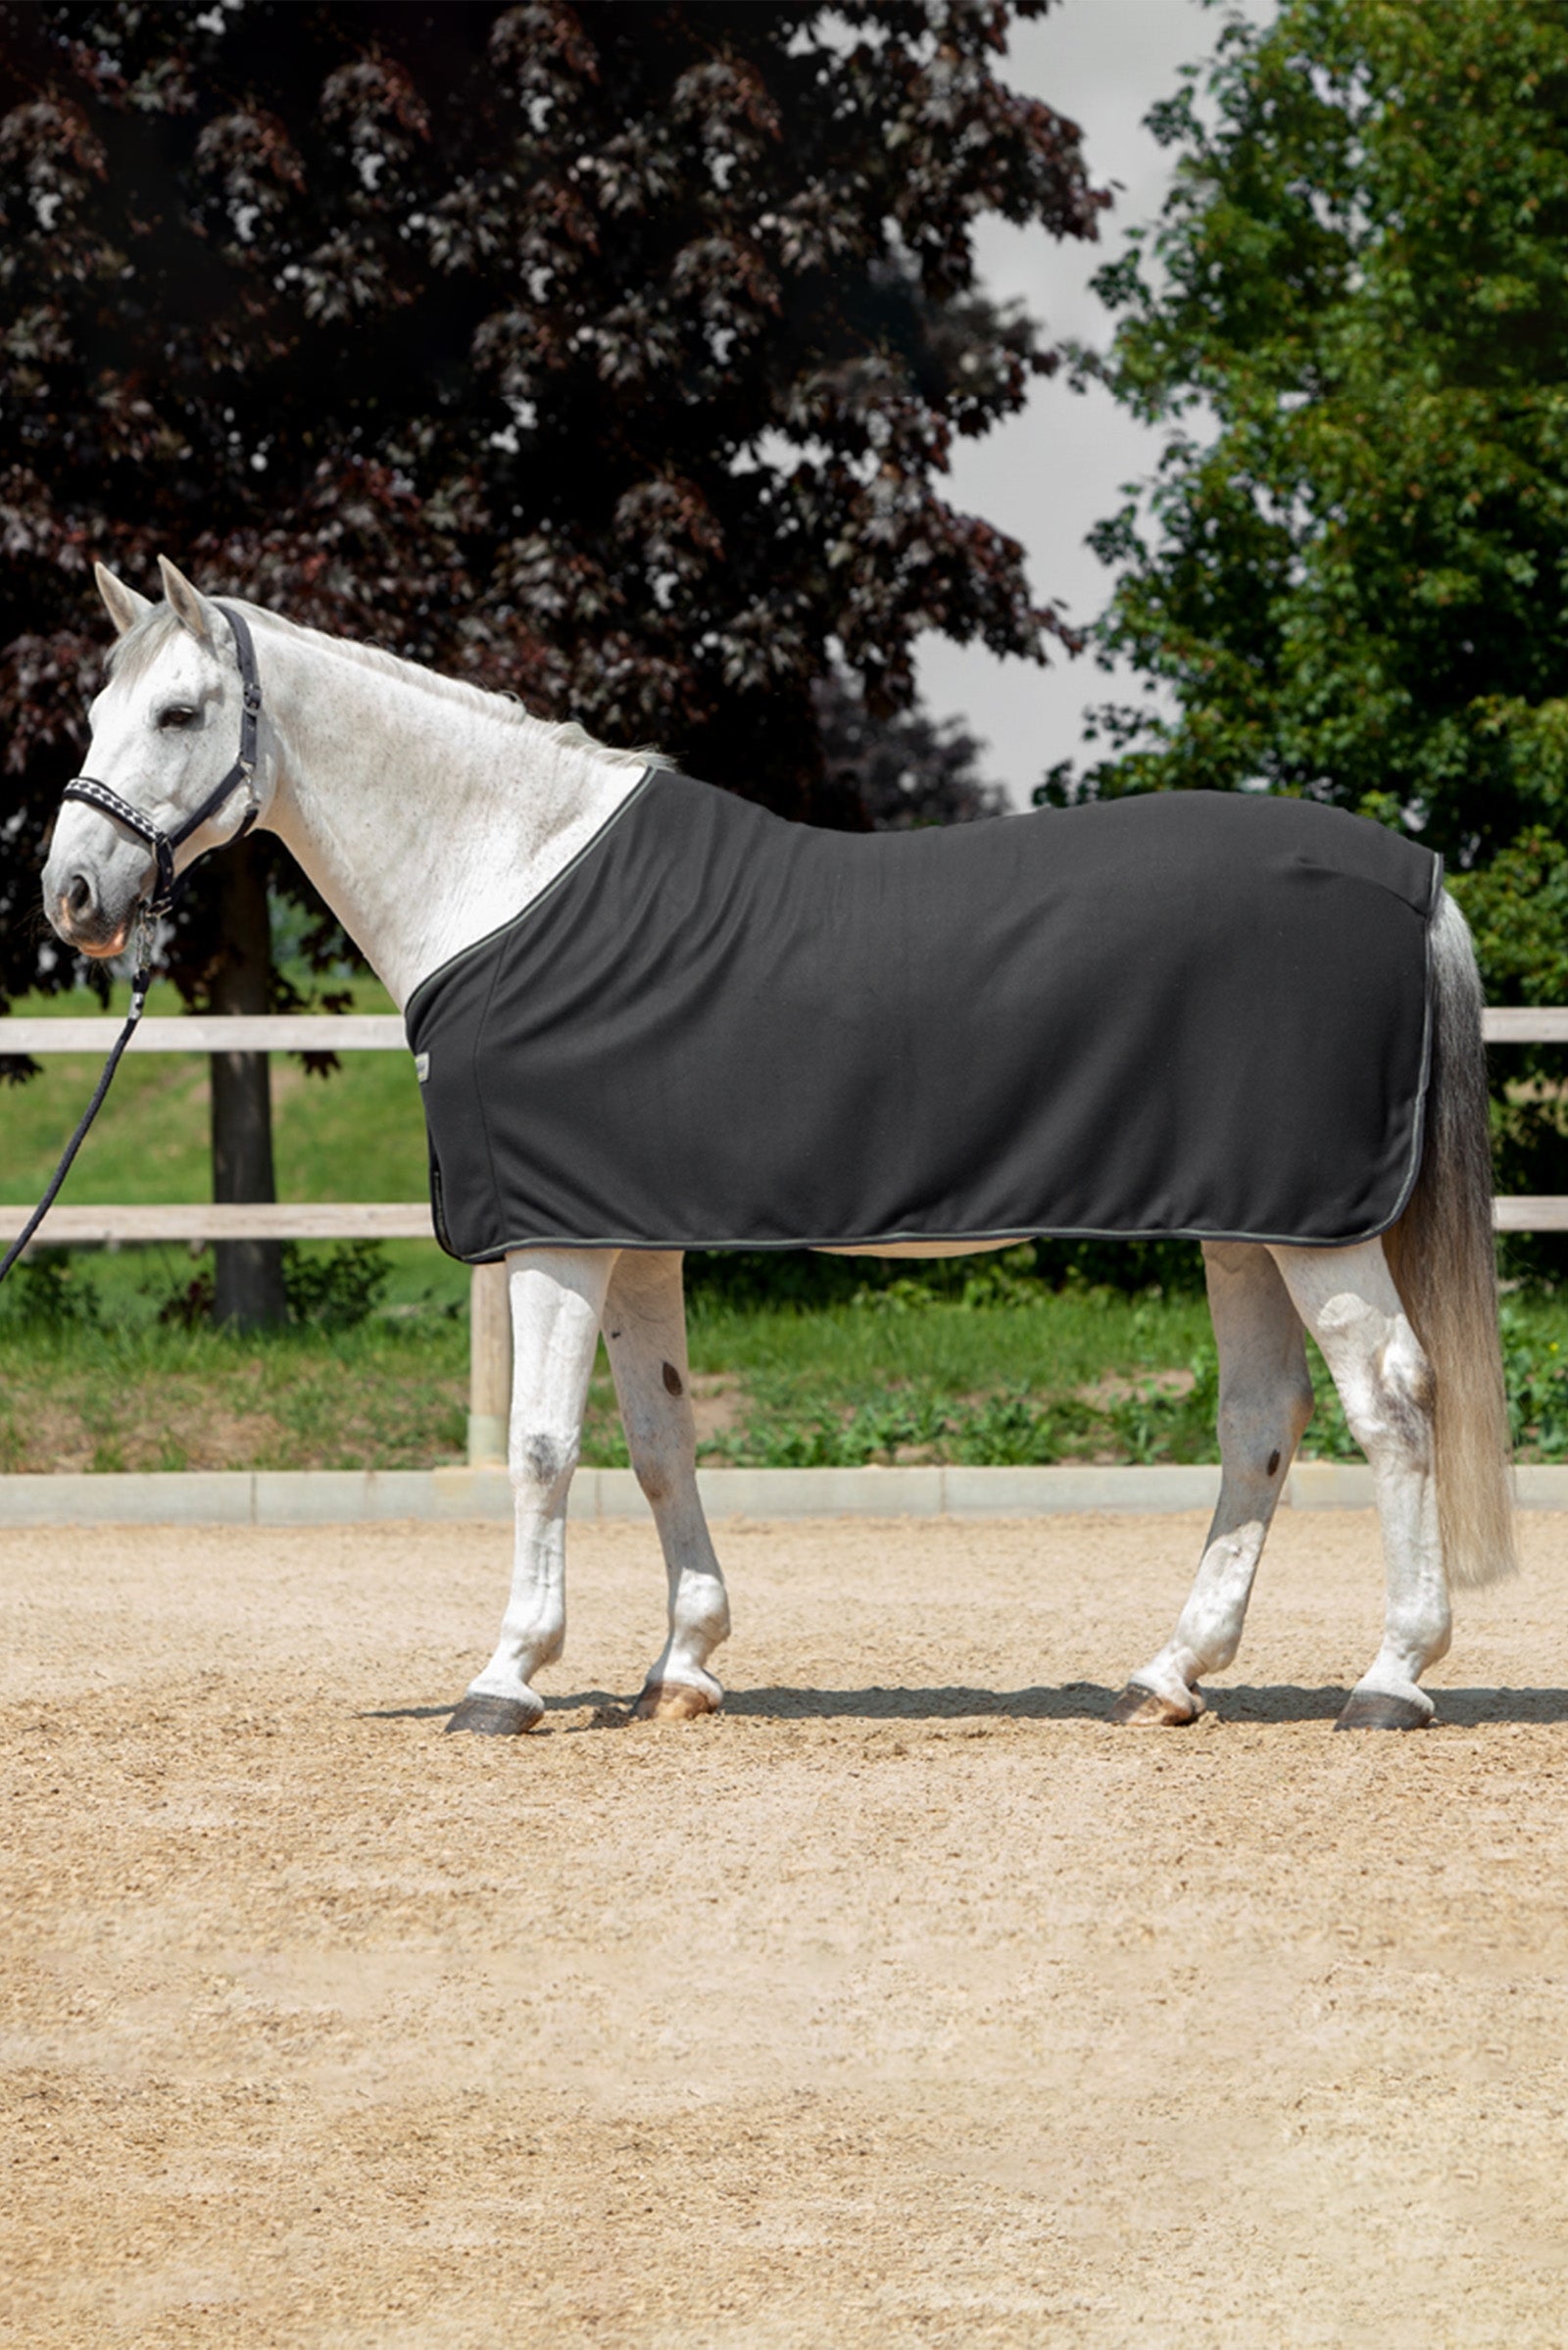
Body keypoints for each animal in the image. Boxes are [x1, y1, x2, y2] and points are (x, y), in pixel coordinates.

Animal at [39, 556, 1516, 1736]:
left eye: (179, 713)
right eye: (97, 711)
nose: (74, 897)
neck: (510, 877)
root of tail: (1418, 882)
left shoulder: (557, 1242)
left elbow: (539, 1446)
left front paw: (508, 1676)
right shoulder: (628, 1235)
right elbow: (656, 1437)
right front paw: (681, 1665)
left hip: (1312, 1226)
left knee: (1391, 1399)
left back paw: (1391, 1677)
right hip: (1246, 1220)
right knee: (1263, 1417)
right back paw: (1171, 1675)